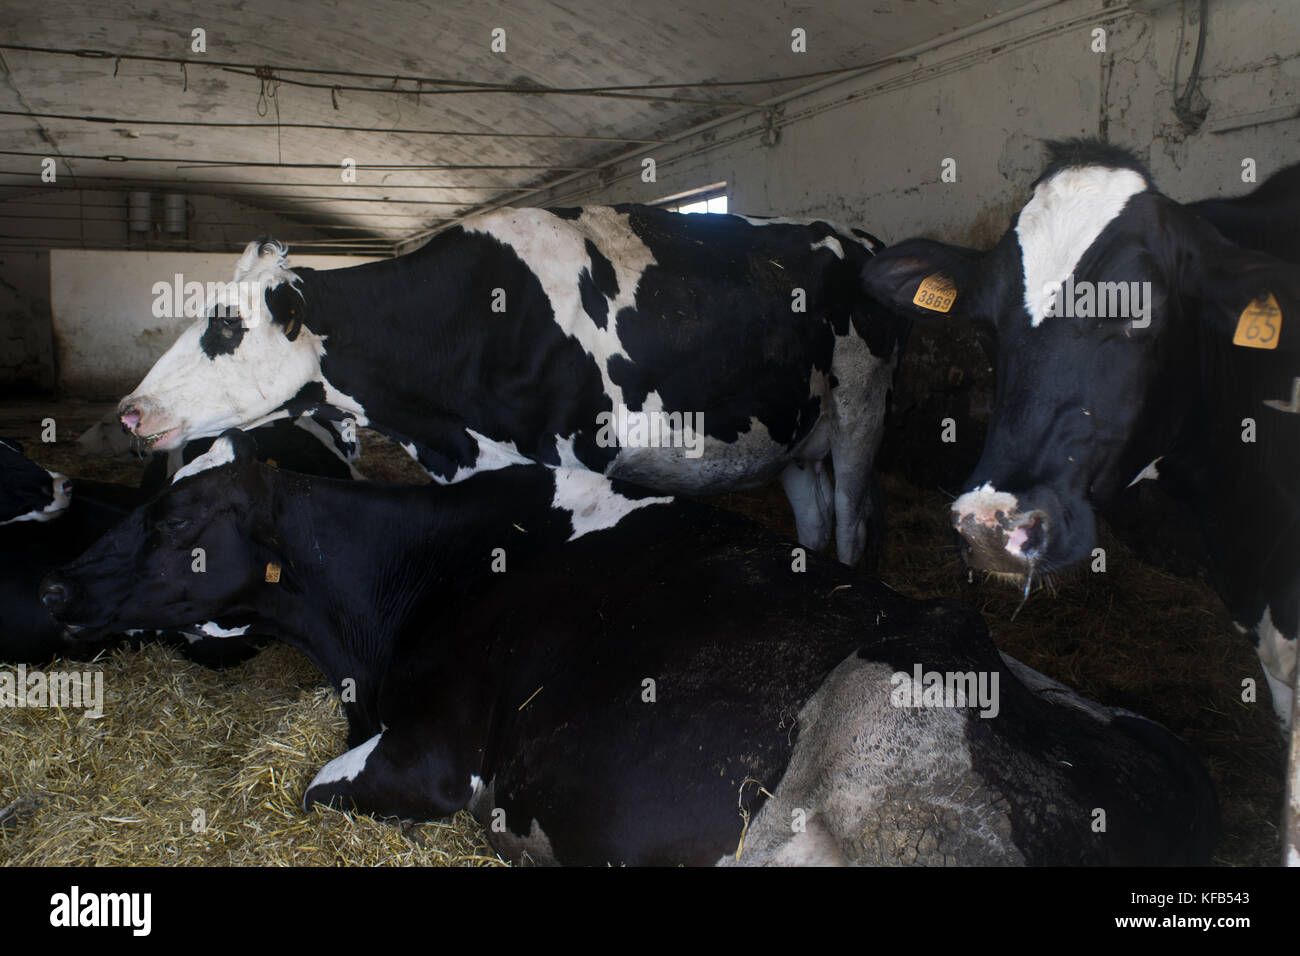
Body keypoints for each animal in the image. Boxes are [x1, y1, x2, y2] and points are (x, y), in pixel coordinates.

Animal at [111, 208, 909, 567]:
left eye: (224, 327)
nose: (130, 412)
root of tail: (852, 235)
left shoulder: (577, 461)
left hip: (862, 410)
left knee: (849, 522)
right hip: (794, 434)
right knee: (814, 520)